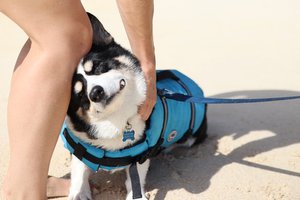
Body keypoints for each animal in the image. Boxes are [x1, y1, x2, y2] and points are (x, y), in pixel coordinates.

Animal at [64, 12, 206, 200]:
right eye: (80, 95)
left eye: (99, 67)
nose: (95, 92)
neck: (119, 118)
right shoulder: (80, 149)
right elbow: (79, 170)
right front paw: (78, 193)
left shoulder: (140, 159)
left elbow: (135, 179)